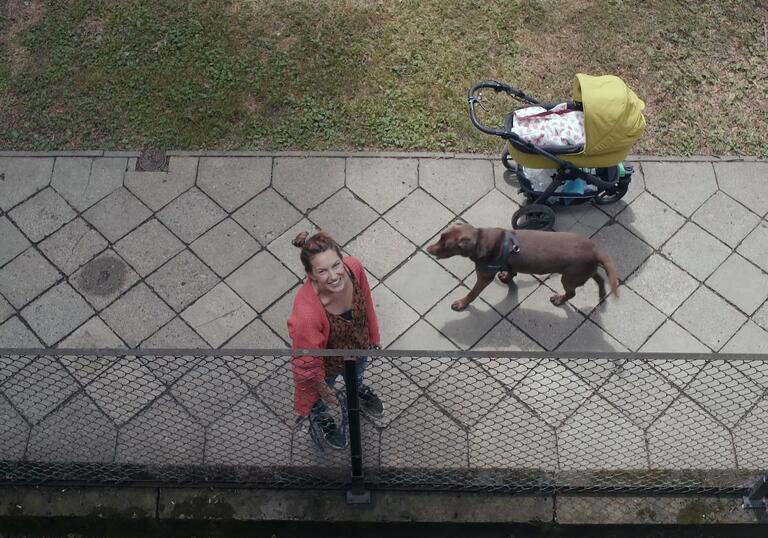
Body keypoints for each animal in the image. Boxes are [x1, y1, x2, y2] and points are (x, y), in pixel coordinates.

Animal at [426, 223, 616, 310]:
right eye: (440, 236)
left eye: (447, 245)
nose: (428, 249)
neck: (481, 240)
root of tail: (595, 250)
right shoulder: (511, 263)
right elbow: (511, 272)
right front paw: (506, 277)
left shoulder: (484, 277)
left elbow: (472, 293)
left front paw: (461, 303)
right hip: (584, 271)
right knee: (599, 279)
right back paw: (601, 296)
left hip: (569, 277)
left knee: (572, 292)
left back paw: (559, 299)